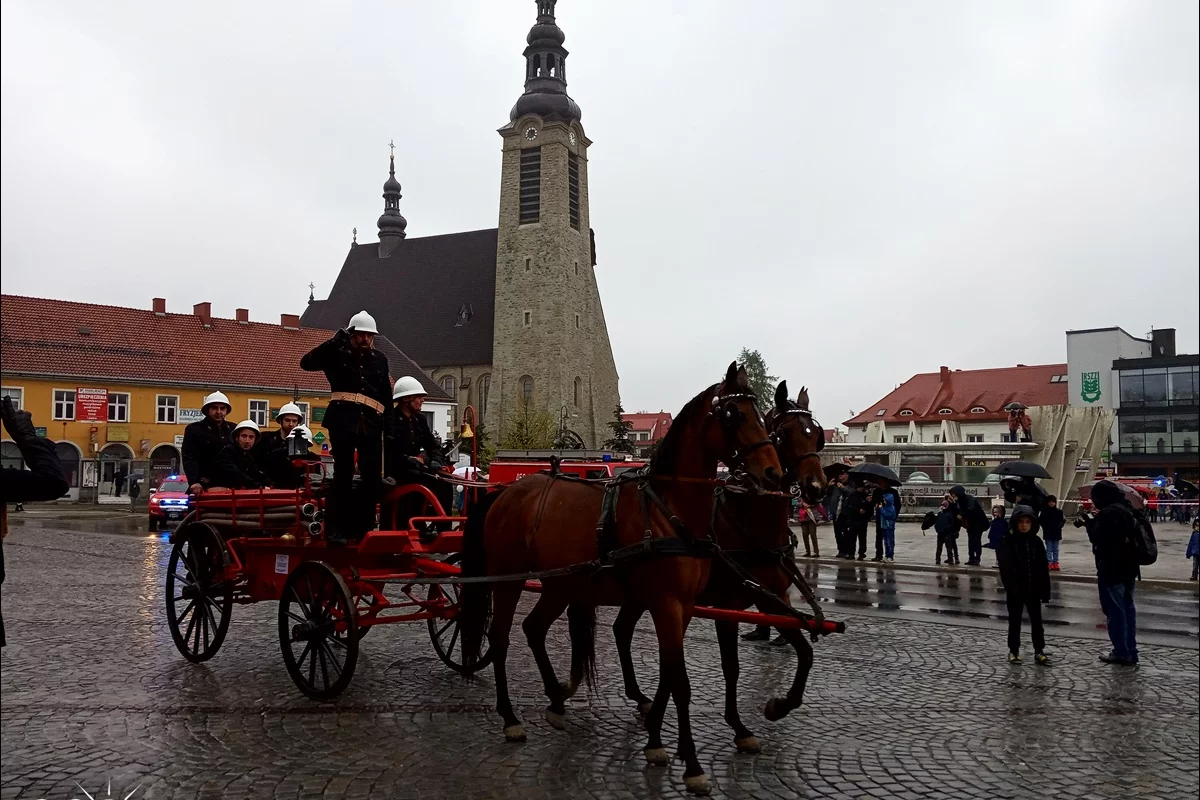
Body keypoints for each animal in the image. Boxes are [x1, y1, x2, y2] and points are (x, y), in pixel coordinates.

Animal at [456, 364, 777, 796]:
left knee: (533, 628)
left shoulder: (683, 606)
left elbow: (669, 673)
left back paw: (556, 701)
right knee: (501, 638)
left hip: (560, 584)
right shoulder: (666, 604)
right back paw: (510, 718)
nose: (772, 472)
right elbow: (680, 682)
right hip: (509, 579)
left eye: (759, 413)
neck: (667, 510)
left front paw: (657, 739)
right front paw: (691, 763)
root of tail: (504, 492)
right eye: (733, 415)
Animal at [604, 383, 830, 753]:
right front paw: (739, 724)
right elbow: (731, 667)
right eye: (782, 434)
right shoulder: (727, 606)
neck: (751, 525)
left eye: (816, 434)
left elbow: (806, 652)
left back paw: (641, 698)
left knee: (622, 630)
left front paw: (779, 705)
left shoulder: (773, 598)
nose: (816, 487)